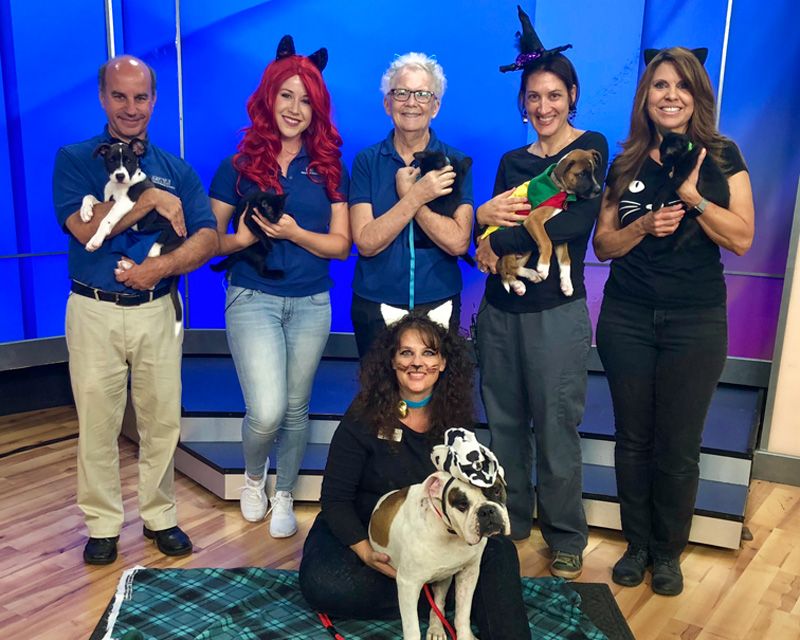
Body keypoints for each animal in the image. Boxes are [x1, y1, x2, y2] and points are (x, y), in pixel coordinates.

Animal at [370, 430, 510, 640]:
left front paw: (464, 635)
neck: (449, 532)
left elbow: (462, 614)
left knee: (439, 604)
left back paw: (436, 628)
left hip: (444, 578)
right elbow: (412, 629)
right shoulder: (408, 584)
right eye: (461, 504)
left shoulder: (469, 574)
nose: (486, 511)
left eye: (496, 490)